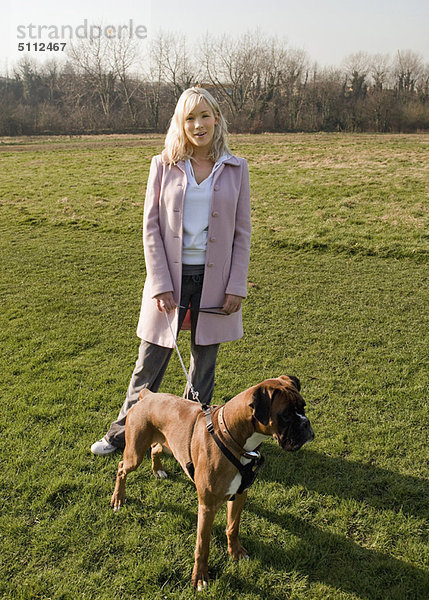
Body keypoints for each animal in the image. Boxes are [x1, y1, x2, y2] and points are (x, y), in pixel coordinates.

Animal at [108, 376, 312, 592]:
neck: (231, 436)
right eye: (286, 415)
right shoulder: (207, 507)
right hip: (135, 454)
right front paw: (200, 577)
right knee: (121, 468)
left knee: (155, 449)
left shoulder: (240, 494)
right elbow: (202, 545)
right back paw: (118, 499)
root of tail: (148, 395)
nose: (306, 424)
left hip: (168, 445)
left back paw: (158, 470)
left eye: (303, 407)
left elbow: (233, 527)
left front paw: (236, 552)